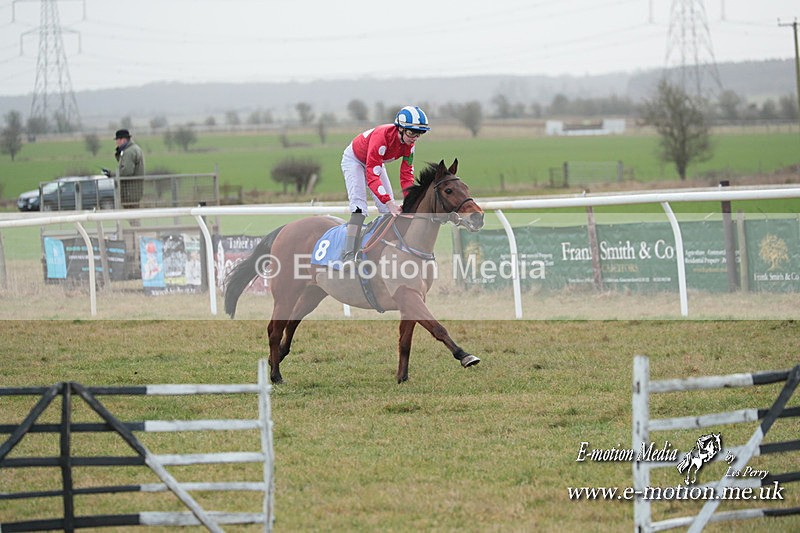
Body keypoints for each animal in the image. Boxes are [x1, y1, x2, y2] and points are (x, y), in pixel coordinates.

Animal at [224, 159, 485, 384]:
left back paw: (275, 358)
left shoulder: (413, 297)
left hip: (313, 293)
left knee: (292, 323)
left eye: (466, 186)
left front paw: (402, 377)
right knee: (274, 329)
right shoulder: (407, 295)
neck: (408, 244)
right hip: (286, 291)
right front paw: (465, 356)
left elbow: (405, 340)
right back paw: (276, 375)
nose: (478, 217)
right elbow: (438, 328)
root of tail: (285, 228)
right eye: (449, 190)